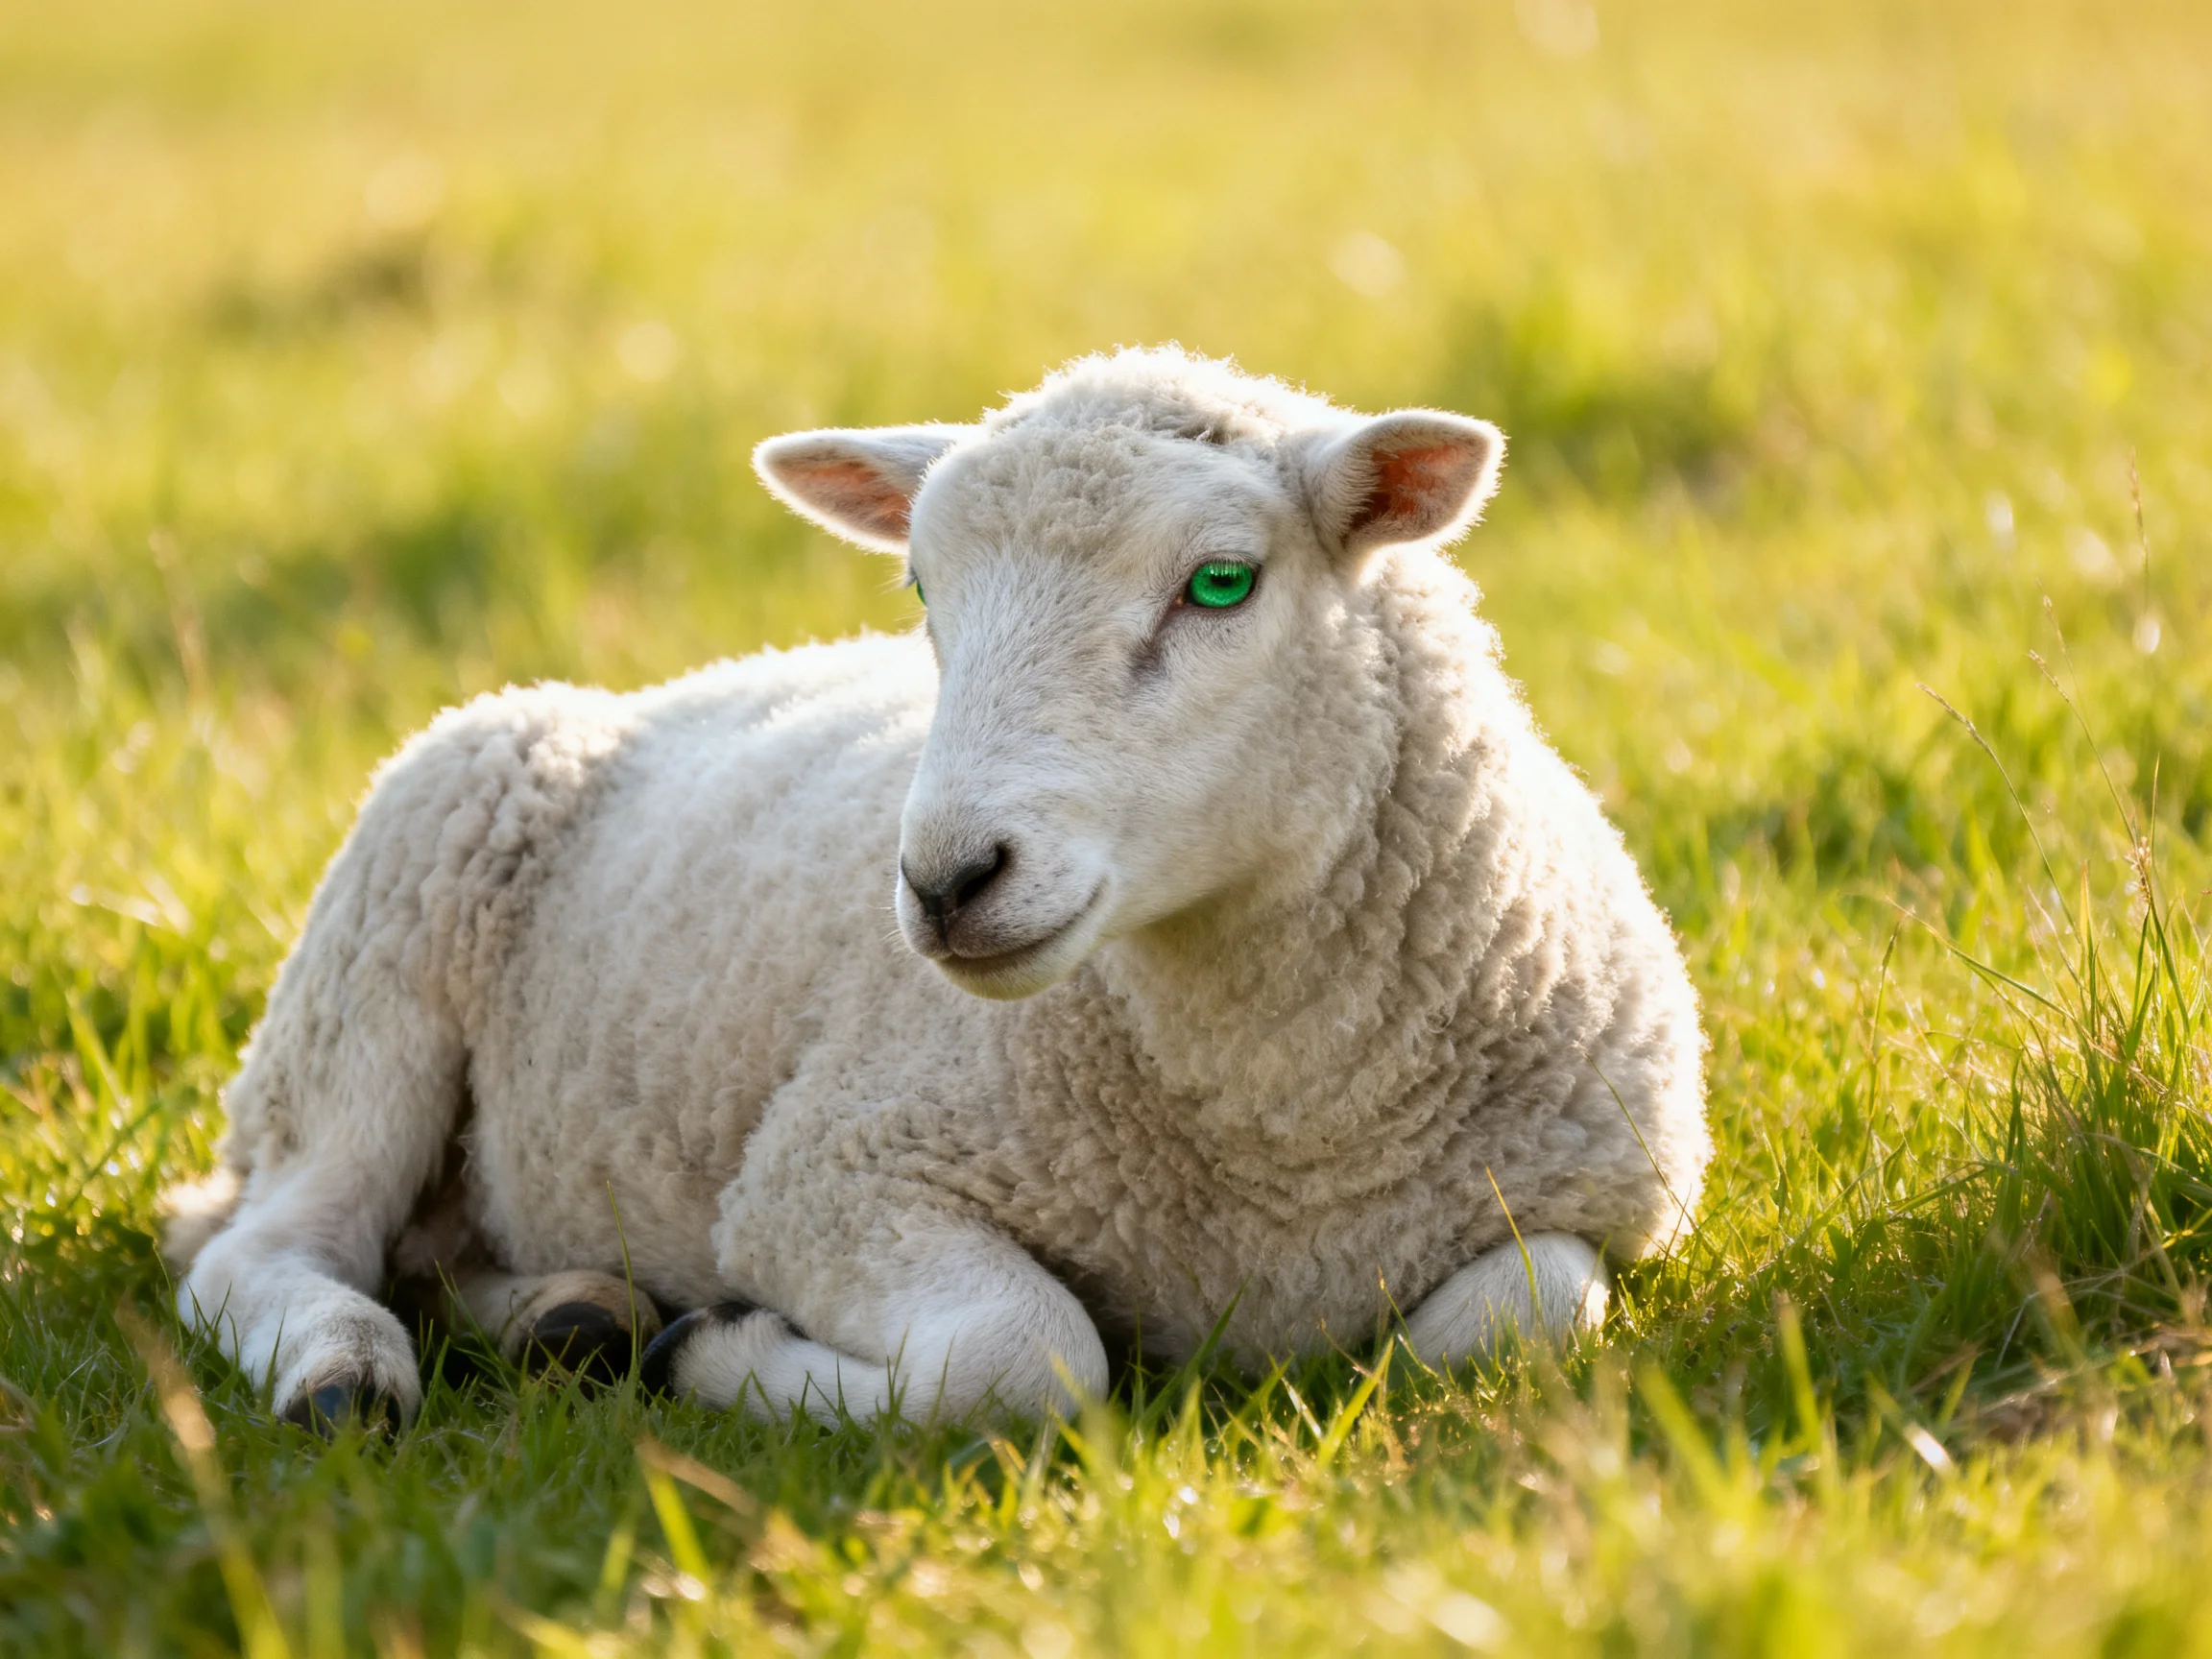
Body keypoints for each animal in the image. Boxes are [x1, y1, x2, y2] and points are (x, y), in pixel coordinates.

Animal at [163, 346, 1710, 1431]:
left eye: (1222, 583)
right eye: (919, 590)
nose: (949, 879)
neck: (1285, 1146)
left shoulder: (1602, 1208)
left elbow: (1512, 1321)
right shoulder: (824, 1178)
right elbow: (1030, 1361)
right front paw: (724, 1352)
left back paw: (567, 1315)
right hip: (370, 981)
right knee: (264, 1251)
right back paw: (344, 1371)